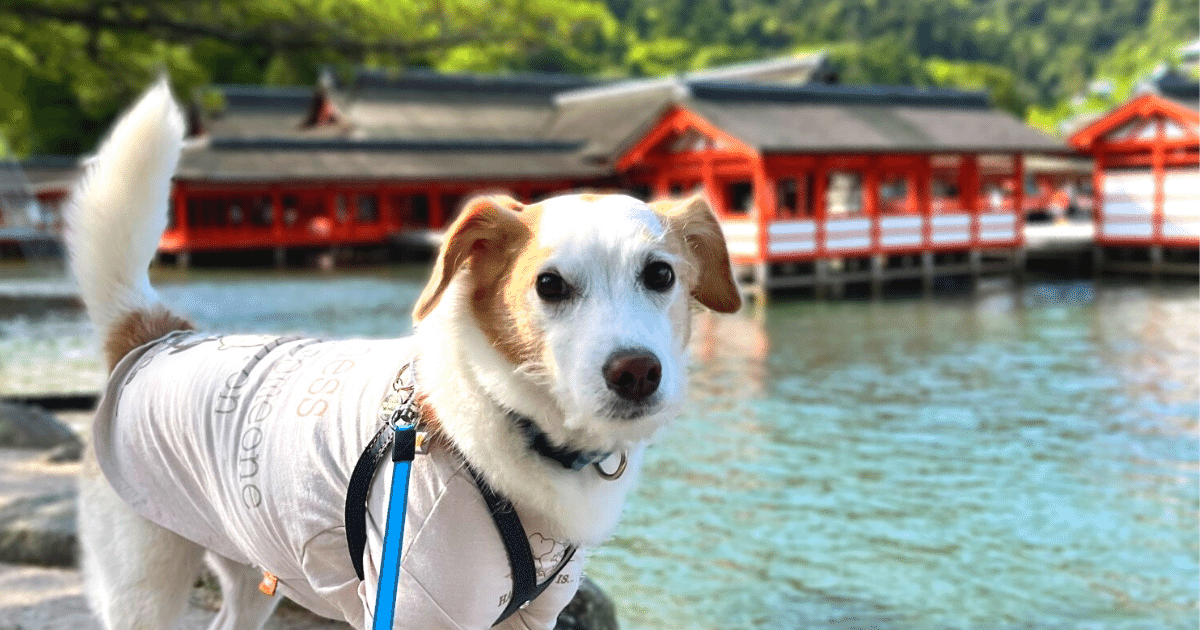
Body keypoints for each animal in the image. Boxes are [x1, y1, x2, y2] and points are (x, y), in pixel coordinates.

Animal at [70, 82, 739, 628]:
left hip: (247, 568)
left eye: (660, 275)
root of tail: (155, 333)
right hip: (143, 582)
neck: (512, 421)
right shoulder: (415, 601)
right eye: (549, 285)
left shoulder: (534, 615)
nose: (636, 372)